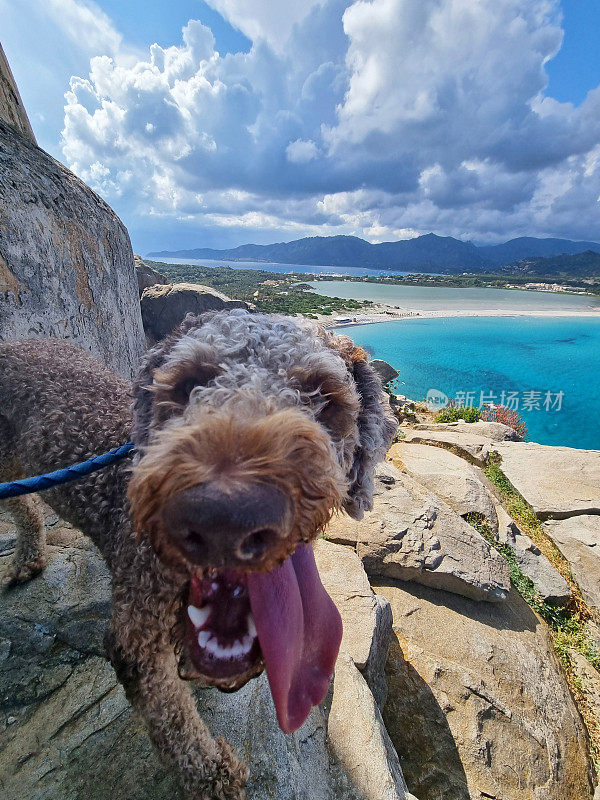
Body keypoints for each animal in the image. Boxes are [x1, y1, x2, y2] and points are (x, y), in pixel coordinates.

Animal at [0, 308, 396, 800]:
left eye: (322, 394)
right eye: (189, 382)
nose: (224, 516)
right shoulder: (136, 634)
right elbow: (172, 720)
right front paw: (211, 774)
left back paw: (30, 555)